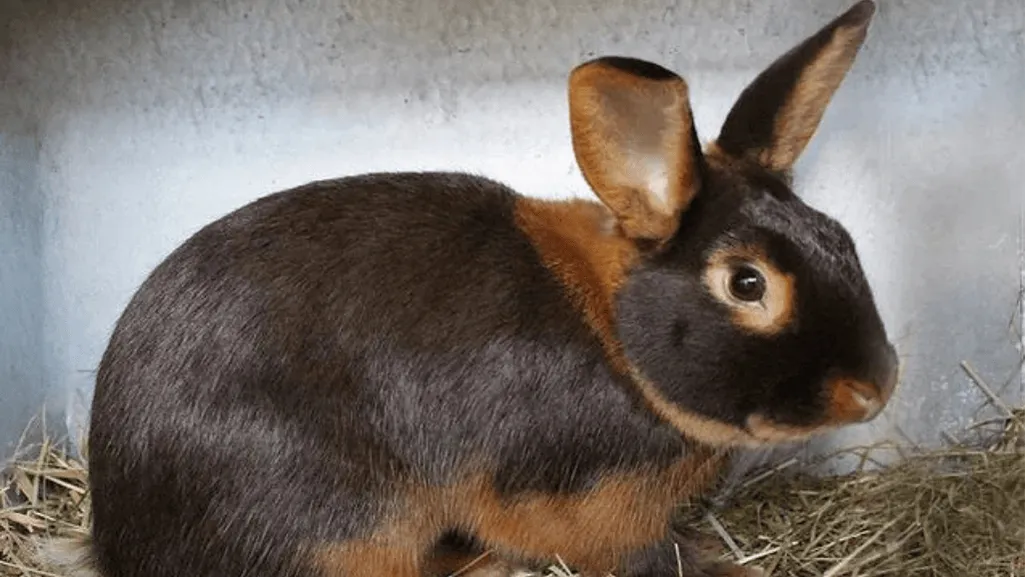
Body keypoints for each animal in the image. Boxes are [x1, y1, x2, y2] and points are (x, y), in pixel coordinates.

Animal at [40, 1, 897, 576]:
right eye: (746, 282)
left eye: (839, 237)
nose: (874, 387)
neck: (619, 341)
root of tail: (120, 537)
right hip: (348, 530)